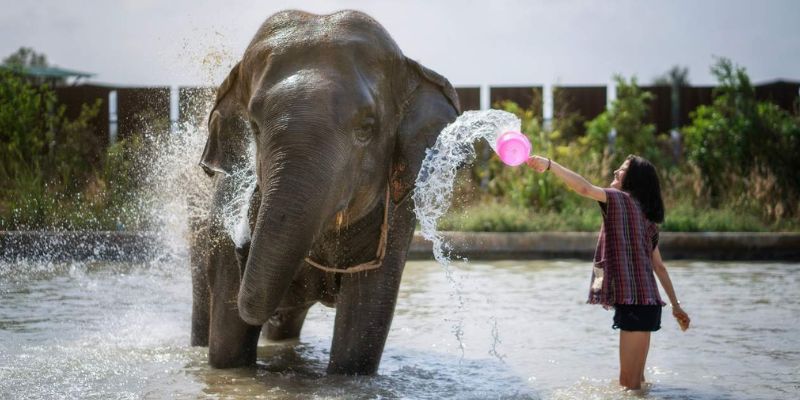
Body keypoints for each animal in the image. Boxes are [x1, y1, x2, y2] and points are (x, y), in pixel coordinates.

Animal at [190, 9, 460, 375]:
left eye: (367, 128)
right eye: (254, 128)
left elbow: (362, 331)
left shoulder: (399, 216)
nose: (242, 244)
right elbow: (227, 349)